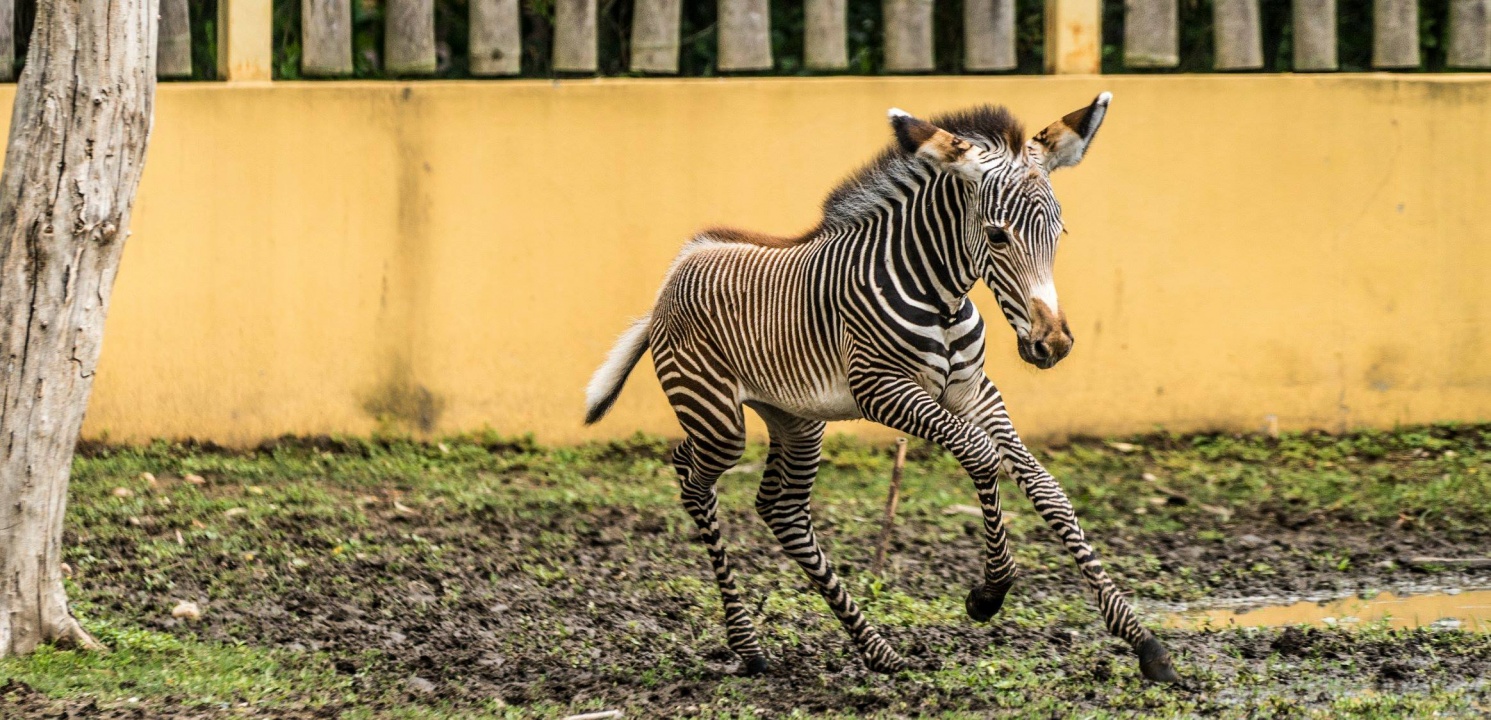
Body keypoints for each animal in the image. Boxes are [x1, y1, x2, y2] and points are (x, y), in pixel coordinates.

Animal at [581, 93, 1174, 685]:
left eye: (1059, 232)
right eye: (998, 235)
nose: (1053, 344)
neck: (941, 296)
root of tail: (675, 272)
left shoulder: (974, 391)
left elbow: (1046, 488)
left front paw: (1142, 640)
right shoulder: (883, 389)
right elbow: (982, 456)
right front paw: (989, 593)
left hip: (797, 419)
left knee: (782, 508)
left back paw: (876, 650)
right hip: (714, 414)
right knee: (690, 475)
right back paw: (747, 646)